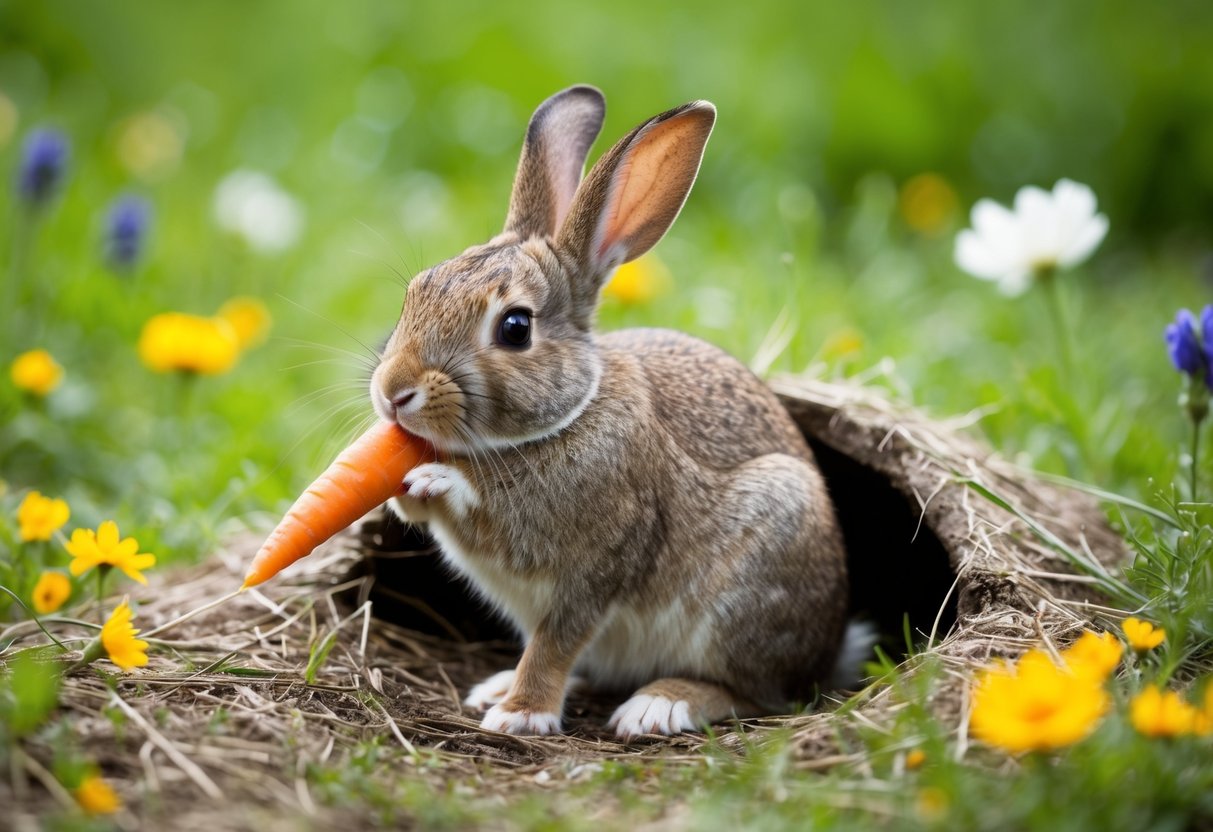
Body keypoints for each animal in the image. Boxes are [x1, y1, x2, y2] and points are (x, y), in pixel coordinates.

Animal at [369, 84, 850, 739]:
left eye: (515, 328)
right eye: (416, 289)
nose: (393, 393)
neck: (568, 416)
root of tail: (832, 647)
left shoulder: (595, 569)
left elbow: (554, 643)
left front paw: (521, 715)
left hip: (757, 574)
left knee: (754, 692)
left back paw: (660, 705)